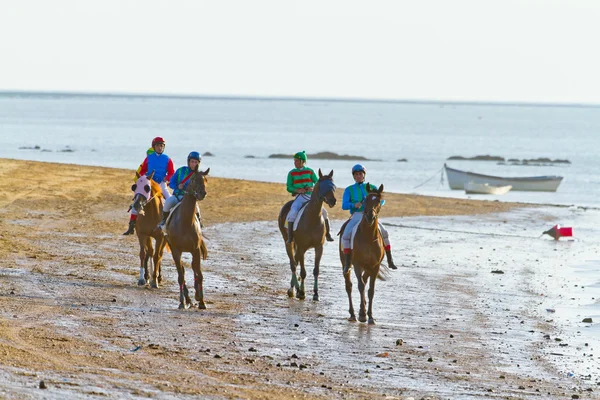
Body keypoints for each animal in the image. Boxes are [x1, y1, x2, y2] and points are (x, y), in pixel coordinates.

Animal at [164, 166, 211, 310]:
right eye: (194, 179)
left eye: (205, 180)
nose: (202, 193)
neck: (184, 222)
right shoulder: (176, 250)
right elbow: (181, 276)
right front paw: (181, 302)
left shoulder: (195, 249)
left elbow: (199, 274)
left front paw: (201, 301)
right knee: (183, 271)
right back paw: (188, 299)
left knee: (193, 268)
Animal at [278, 168, 338, 300]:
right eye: (322, 186)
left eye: (333, 186)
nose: (333, 201)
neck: (312, 218)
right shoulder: (301, 248)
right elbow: (303, 272)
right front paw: (302, 292)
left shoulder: (319, 247)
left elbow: (316, 270)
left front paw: (315, 294)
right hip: (288, 242)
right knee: (293, 264)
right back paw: (294, 290)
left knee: (296, 262)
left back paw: (294, 288)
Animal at [338, 184, 390, 324]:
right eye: (365, 200)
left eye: (378, 201)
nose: (370, 216)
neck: (368, 237)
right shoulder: (357, 264)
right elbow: (360, 286)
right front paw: (362, 314)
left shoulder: (375, 266)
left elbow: (370, 290)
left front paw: (370, 316)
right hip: (346, 263)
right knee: (349, 286)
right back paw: (353, 314)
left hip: (368, 267)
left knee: (364, 280)